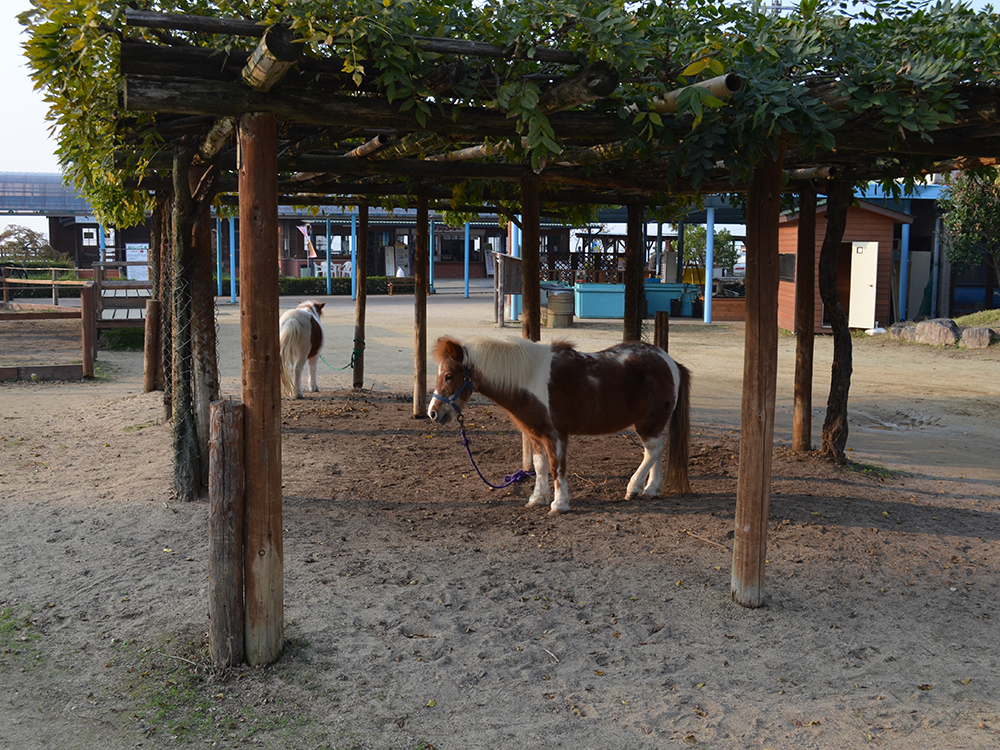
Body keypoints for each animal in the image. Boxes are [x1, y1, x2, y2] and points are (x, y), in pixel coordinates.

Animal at [426, 336, 692, 516]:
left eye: (449, 376)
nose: (433, 413)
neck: (529, 379)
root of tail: (670, 361)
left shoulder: (556, 436)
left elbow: (557, 468)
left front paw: (559, 504)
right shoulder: (535, 434)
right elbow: (540, 466)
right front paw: (538, 498)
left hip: (647, 424)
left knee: (653, 450)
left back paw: (634, 487)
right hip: (652, 425)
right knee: (655, 451)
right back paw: (651, 489)